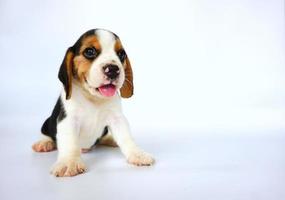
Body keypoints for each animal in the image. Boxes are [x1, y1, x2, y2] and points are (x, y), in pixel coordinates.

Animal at [32, 28, 154, 177]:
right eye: (89, 51)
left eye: (121, 54)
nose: (113, 69)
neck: (93, 98)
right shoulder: (68, 120)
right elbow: (69, 142)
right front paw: (69, 162)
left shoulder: (117, 119)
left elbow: (126, 137)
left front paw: (137, 154)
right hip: (48, 121)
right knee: (46, 132)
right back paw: (44, 143)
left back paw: (111, 139)